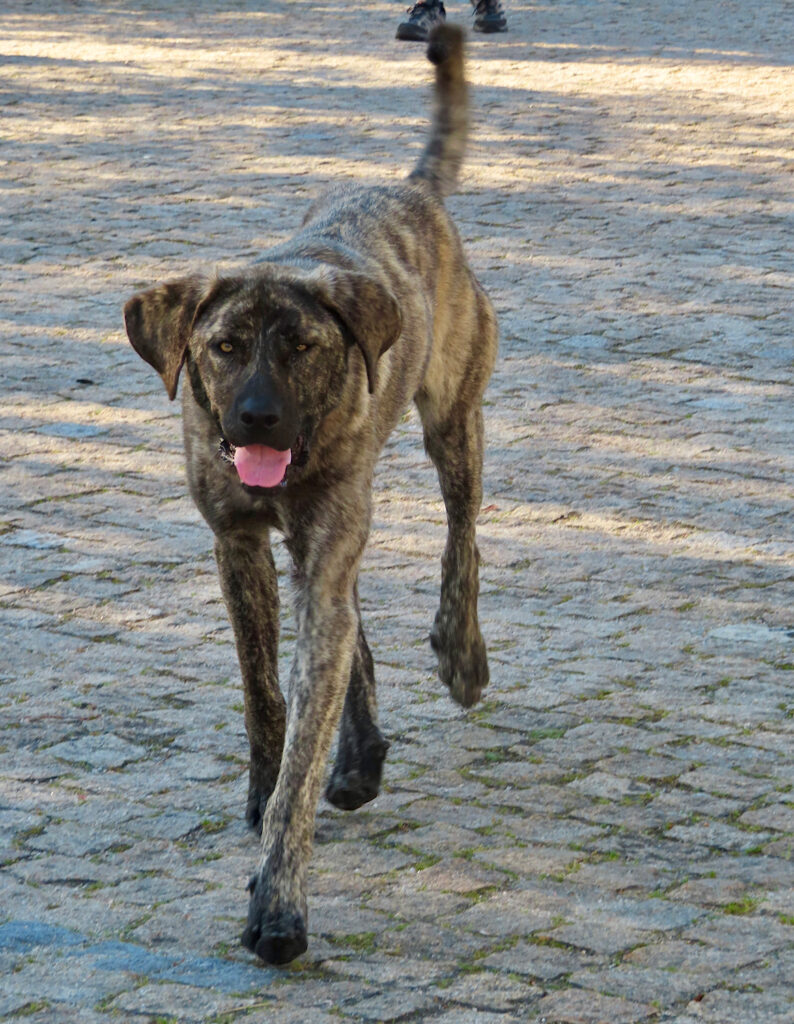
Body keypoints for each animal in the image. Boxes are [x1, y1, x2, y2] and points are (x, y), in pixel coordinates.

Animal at [123, 25, 495, 966]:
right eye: (222, 346)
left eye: (302, 347)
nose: (257, 420)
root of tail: (409, 189)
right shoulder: (241, 545)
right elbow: (268, 696)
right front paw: (269, 790)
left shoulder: (323, 544)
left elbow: (305, 735)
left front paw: (280, 901)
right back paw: (360, 757)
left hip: (453, 418)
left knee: (462, 538)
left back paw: (460, 653)